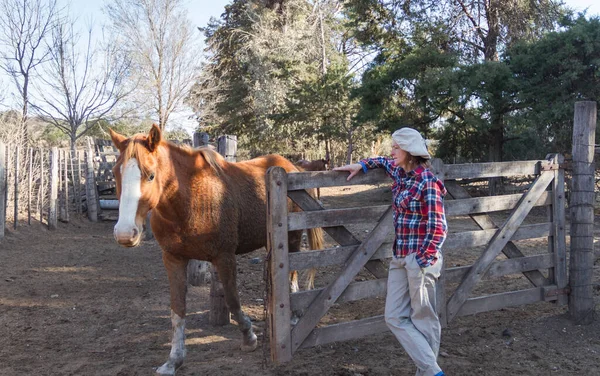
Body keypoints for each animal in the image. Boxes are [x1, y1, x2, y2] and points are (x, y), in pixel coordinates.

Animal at [108, 125, 324, 376]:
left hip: (292, 237)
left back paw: (295, 315)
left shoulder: (224, 257)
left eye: (150, 175)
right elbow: (177, 311)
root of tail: (292, 167)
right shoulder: (173, 259)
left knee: (293, 272)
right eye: (115, 173)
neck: (190, 201)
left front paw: (249, 337)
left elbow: (233, 301)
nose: (125, 233)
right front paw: (174, 360)